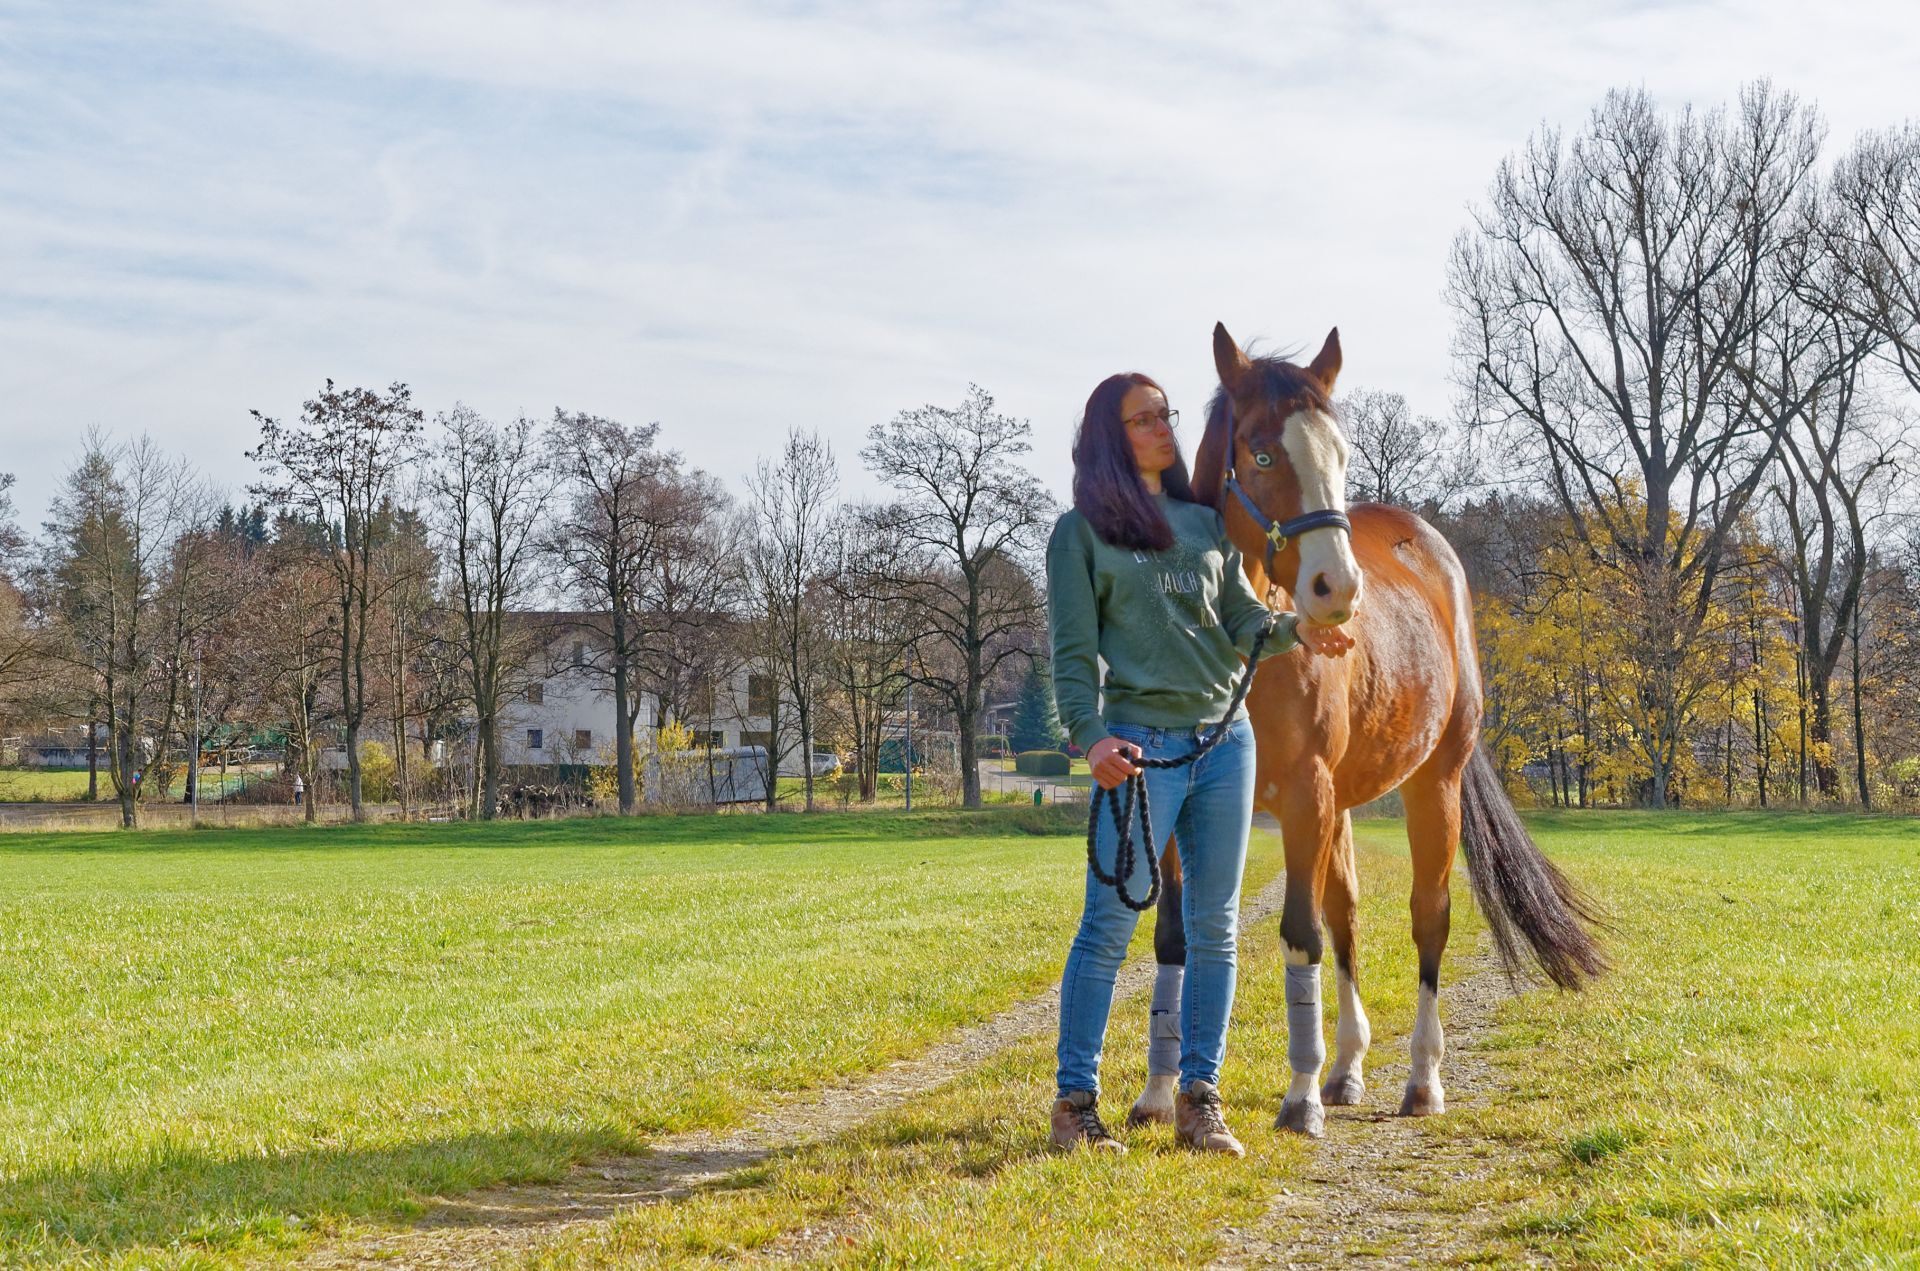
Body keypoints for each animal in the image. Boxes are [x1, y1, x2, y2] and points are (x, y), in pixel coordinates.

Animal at [1126, 323, 1605, 1137]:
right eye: (1261, 451)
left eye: (1342, 452)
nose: (1336, 587)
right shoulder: (1183, 800)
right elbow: (1178, 935)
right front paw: (1161, 1094)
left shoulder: (1305, 795)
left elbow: (1300, 933)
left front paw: (1299, 1096)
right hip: (1345, 801)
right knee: (1345, 915)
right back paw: (1347, 1065)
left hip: (1432, 785)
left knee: (1427, 919)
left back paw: (1420, 1078)